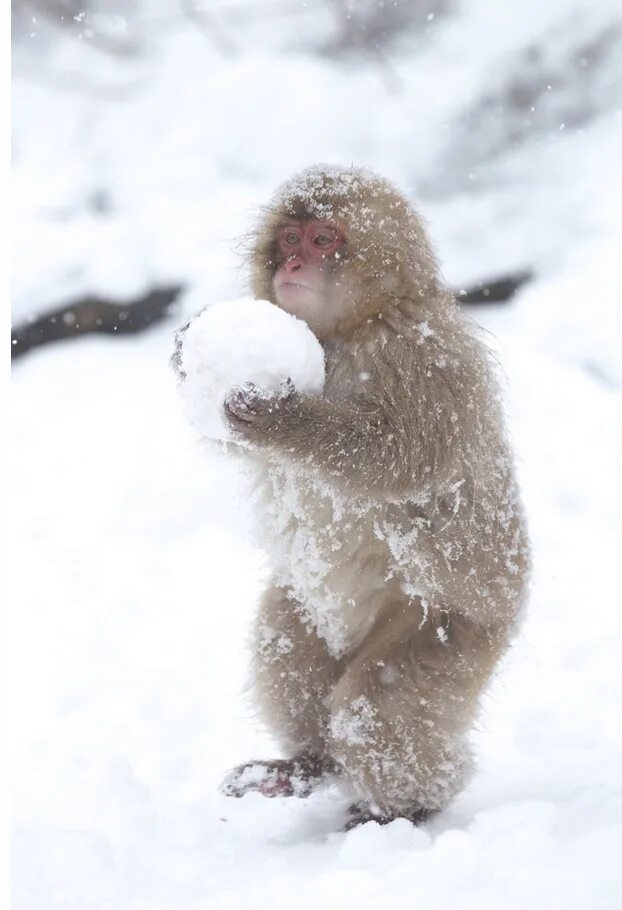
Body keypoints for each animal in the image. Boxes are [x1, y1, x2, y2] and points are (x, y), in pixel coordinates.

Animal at [218, 164, 532, 828]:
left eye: (323, 240)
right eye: (289, 238)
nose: (292, 264)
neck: (349, 329)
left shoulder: (423, 359)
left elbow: (396, 457)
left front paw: (284, 421)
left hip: (453, 631)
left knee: (380, 709)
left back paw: (404, 807)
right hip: (308, 604)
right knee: (286, 650)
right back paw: (307, 764)